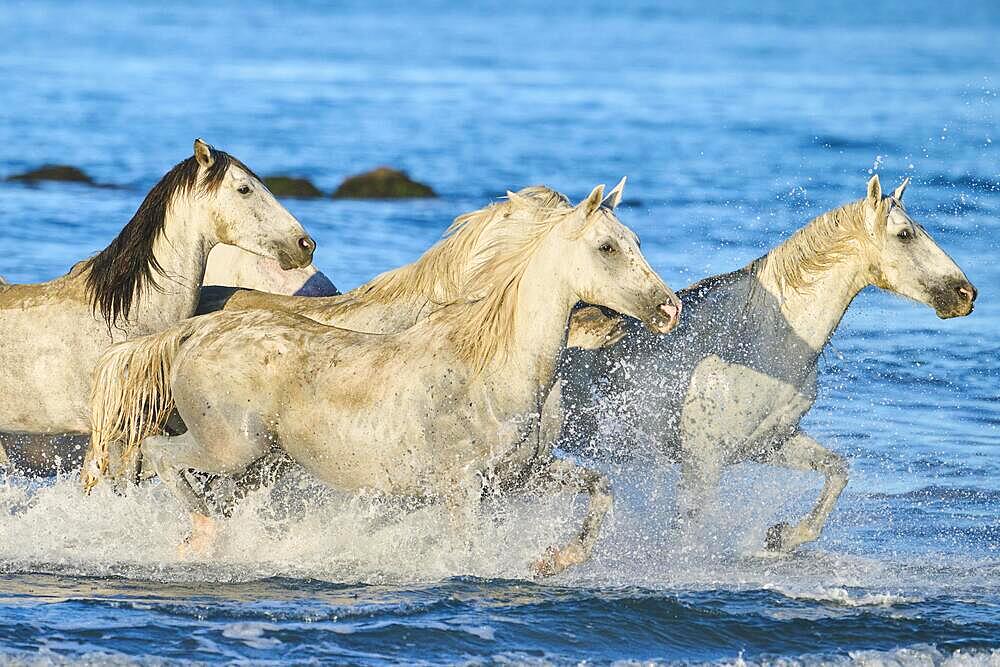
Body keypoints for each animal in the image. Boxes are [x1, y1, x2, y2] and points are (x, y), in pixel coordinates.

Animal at [88, 183, 680, 576]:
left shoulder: (522, 476)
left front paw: (554, 560)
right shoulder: (461, 487)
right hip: (229, 448)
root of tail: (193, 331)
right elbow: (466, 551)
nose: (668, 308)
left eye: (636, 239)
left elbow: (600, 488)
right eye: (607, 247)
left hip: (255, 463)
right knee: (159, 457)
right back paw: (199, 542)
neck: (497, 368)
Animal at [564, 174, 976, 552]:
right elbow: (688, 534)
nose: (966, 294)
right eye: (905, 234)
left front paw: (783, 536)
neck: (756, 343)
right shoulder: (703, 461)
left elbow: (837, 471)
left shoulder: (769, 444)